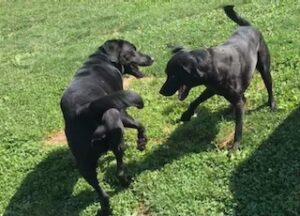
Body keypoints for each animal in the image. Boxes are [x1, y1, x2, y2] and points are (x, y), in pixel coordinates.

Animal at [61, 38, 155, 214]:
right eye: (133, 50)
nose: (151, 58)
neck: (104, 58)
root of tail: (85, 109)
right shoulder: (122, 108)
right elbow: (140, 125)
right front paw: (141, 143)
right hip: (116, 119)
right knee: (119, 169)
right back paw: (127, 182)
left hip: (84, 164)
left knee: (101, 192)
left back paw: (106, 208)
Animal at [159, 5, 276, 150]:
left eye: (173, 75)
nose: (161, 92)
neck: (211, 65)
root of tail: (248, 26)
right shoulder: (211, 89)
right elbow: (195, 101)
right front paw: (186, 115)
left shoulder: (235, 100)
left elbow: (238, 126)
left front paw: (235, 145)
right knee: (243, 98)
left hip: (265, 69)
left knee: (269, 88)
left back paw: (272, 104)